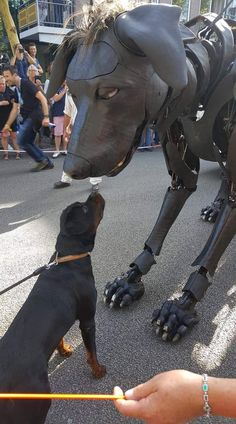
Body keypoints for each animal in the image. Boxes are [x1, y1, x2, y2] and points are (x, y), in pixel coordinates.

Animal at [0, 193, 106, 424]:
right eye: (85, 209)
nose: (94, 193)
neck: (68, 259)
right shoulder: (87, 320)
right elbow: (91, 351)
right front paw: (98, 371)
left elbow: (59, 337)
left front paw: (64, 350)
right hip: (37, 400)